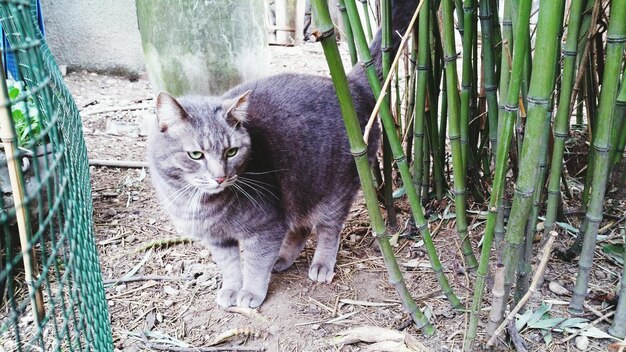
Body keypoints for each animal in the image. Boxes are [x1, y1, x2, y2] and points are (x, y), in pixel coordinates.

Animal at [146, 0, 416, 308]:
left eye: (231, 151)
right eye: (195, 155)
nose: (220, 177)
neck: (198, 204)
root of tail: (351, 83)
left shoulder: (266, 228)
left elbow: (254, 263)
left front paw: (250, 292)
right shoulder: (218, 240)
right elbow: (229, 266)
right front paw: (231, 288)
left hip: (335, 187)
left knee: (328, 228)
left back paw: (321, 264)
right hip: (300, 190)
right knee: (301, 227)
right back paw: (283, 258)